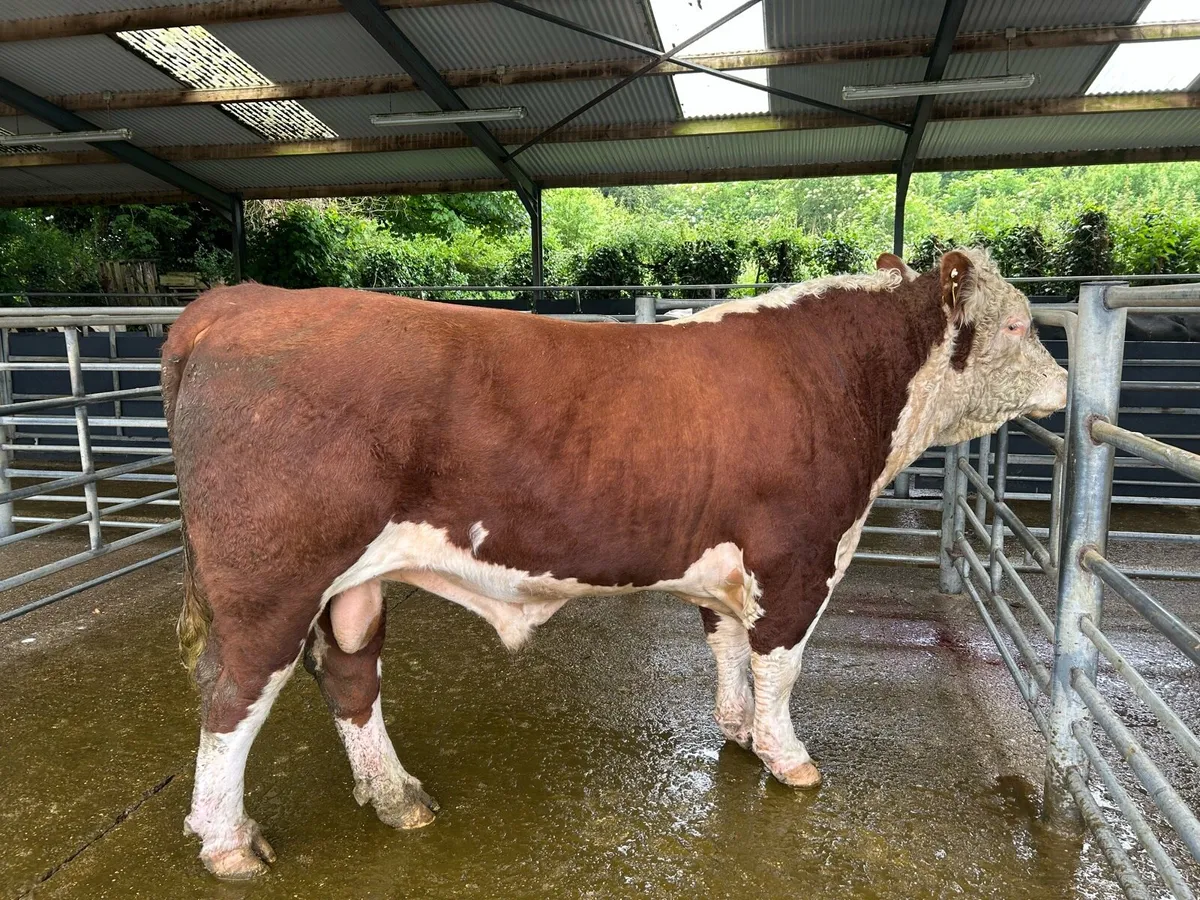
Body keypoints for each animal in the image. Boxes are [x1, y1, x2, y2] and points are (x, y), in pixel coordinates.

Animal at [162, 248, 1067, 879]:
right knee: (231, 696)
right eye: (1018, 323)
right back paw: (228, 842)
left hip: (350, 585)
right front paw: (788, 757)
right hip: (271, 580)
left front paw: (737, 732)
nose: (1065, 384)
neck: (845, 381)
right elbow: (780, 666)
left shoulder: (726, 562)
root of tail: (239, 300)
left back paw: (397, 797)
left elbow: (727, 648)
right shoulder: (801, 555)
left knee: (349, 673)